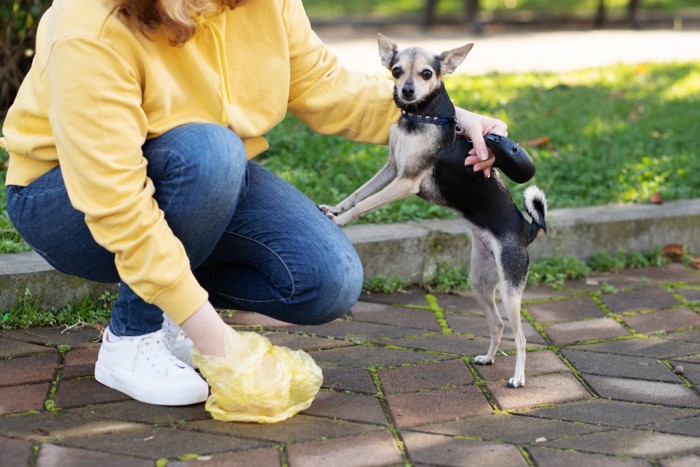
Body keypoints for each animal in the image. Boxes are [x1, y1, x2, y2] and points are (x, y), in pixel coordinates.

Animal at [320, 35, 548, 388]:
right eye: (396, 70)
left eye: (427, 73)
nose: (407, 91)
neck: (421, 117)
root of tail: (526, 228)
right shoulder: (391, 169)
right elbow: (359, 193)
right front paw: (335, 208)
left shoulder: (405, 181)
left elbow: (365, 205)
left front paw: (341, 220)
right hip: (480, 282)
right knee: (497, 324)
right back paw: (488, 358)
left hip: (510, 289)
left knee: (522, 337)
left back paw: (518, 378)